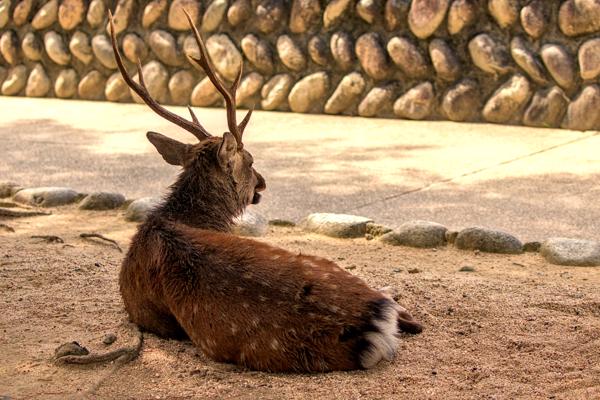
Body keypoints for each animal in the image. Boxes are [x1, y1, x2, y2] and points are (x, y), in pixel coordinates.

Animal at [104, 10, 422, 374]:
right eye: (251, 159)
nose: (262, 182)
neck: (179, 218)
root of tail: (370, 324)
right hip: (324, 264)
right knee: (408, 315)